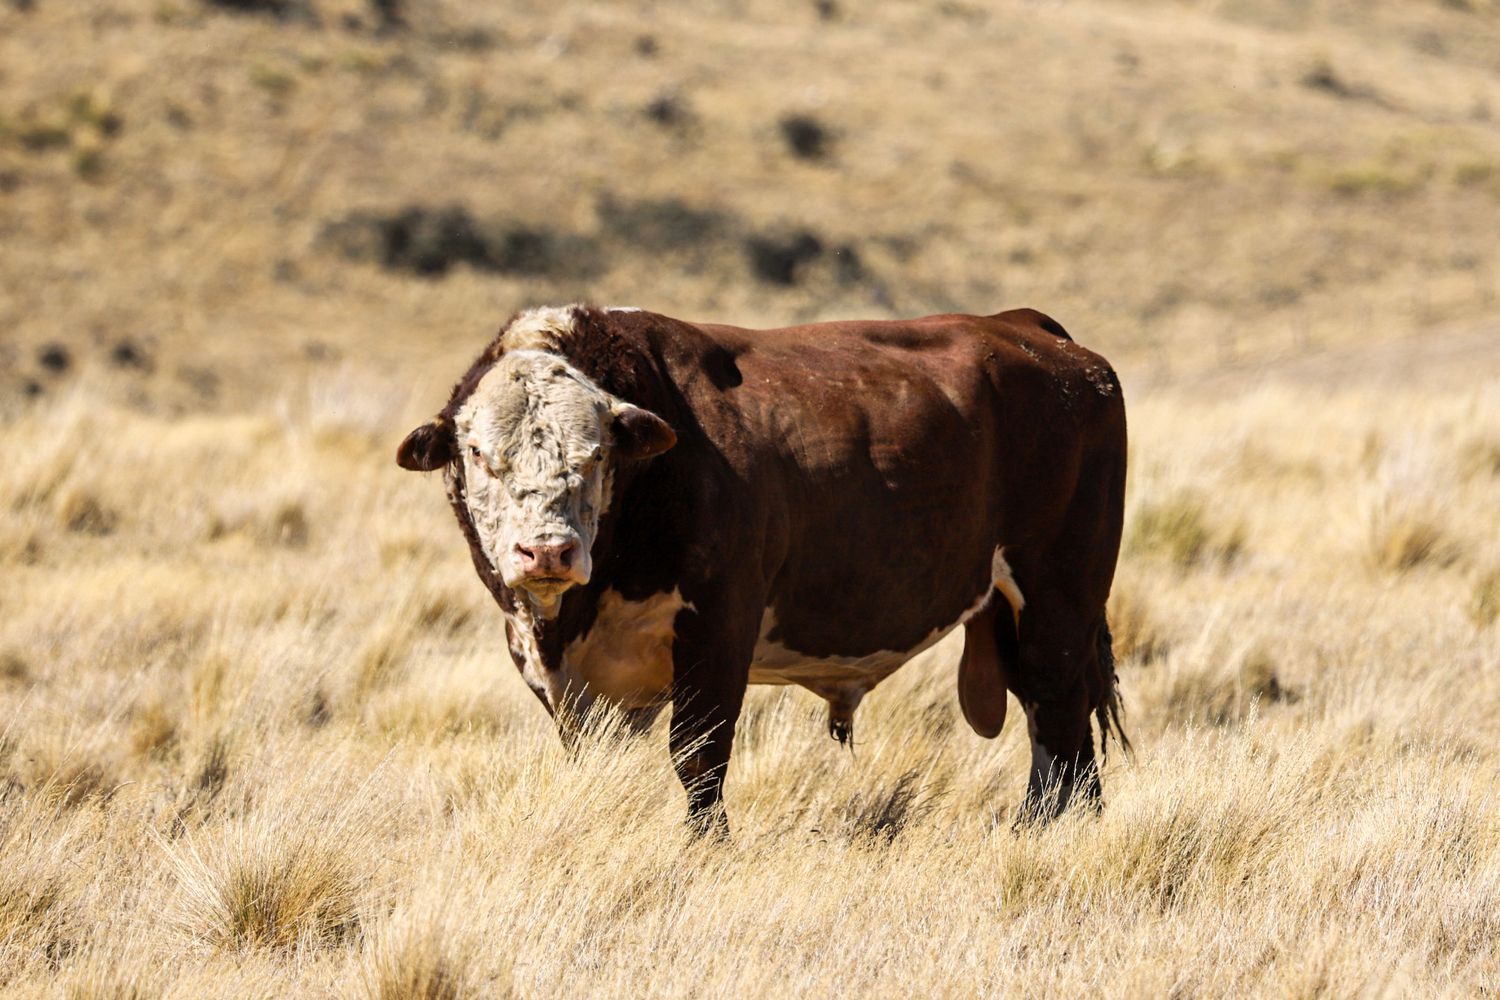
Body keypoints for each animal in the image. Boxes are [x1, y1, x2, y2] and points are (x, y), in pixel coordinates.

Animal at [397, 304, 1128, 835]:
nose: (547, 551)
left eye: (597, 454)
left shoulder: (720, 626)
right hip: (1010, 609)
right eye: (478, 453)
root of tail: (1031, 330)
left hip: (1059, 596)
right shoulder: (553, 668)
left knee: (1057, 713)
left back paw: (1047, 831)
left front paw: (706, 849)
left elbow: (697, 755)